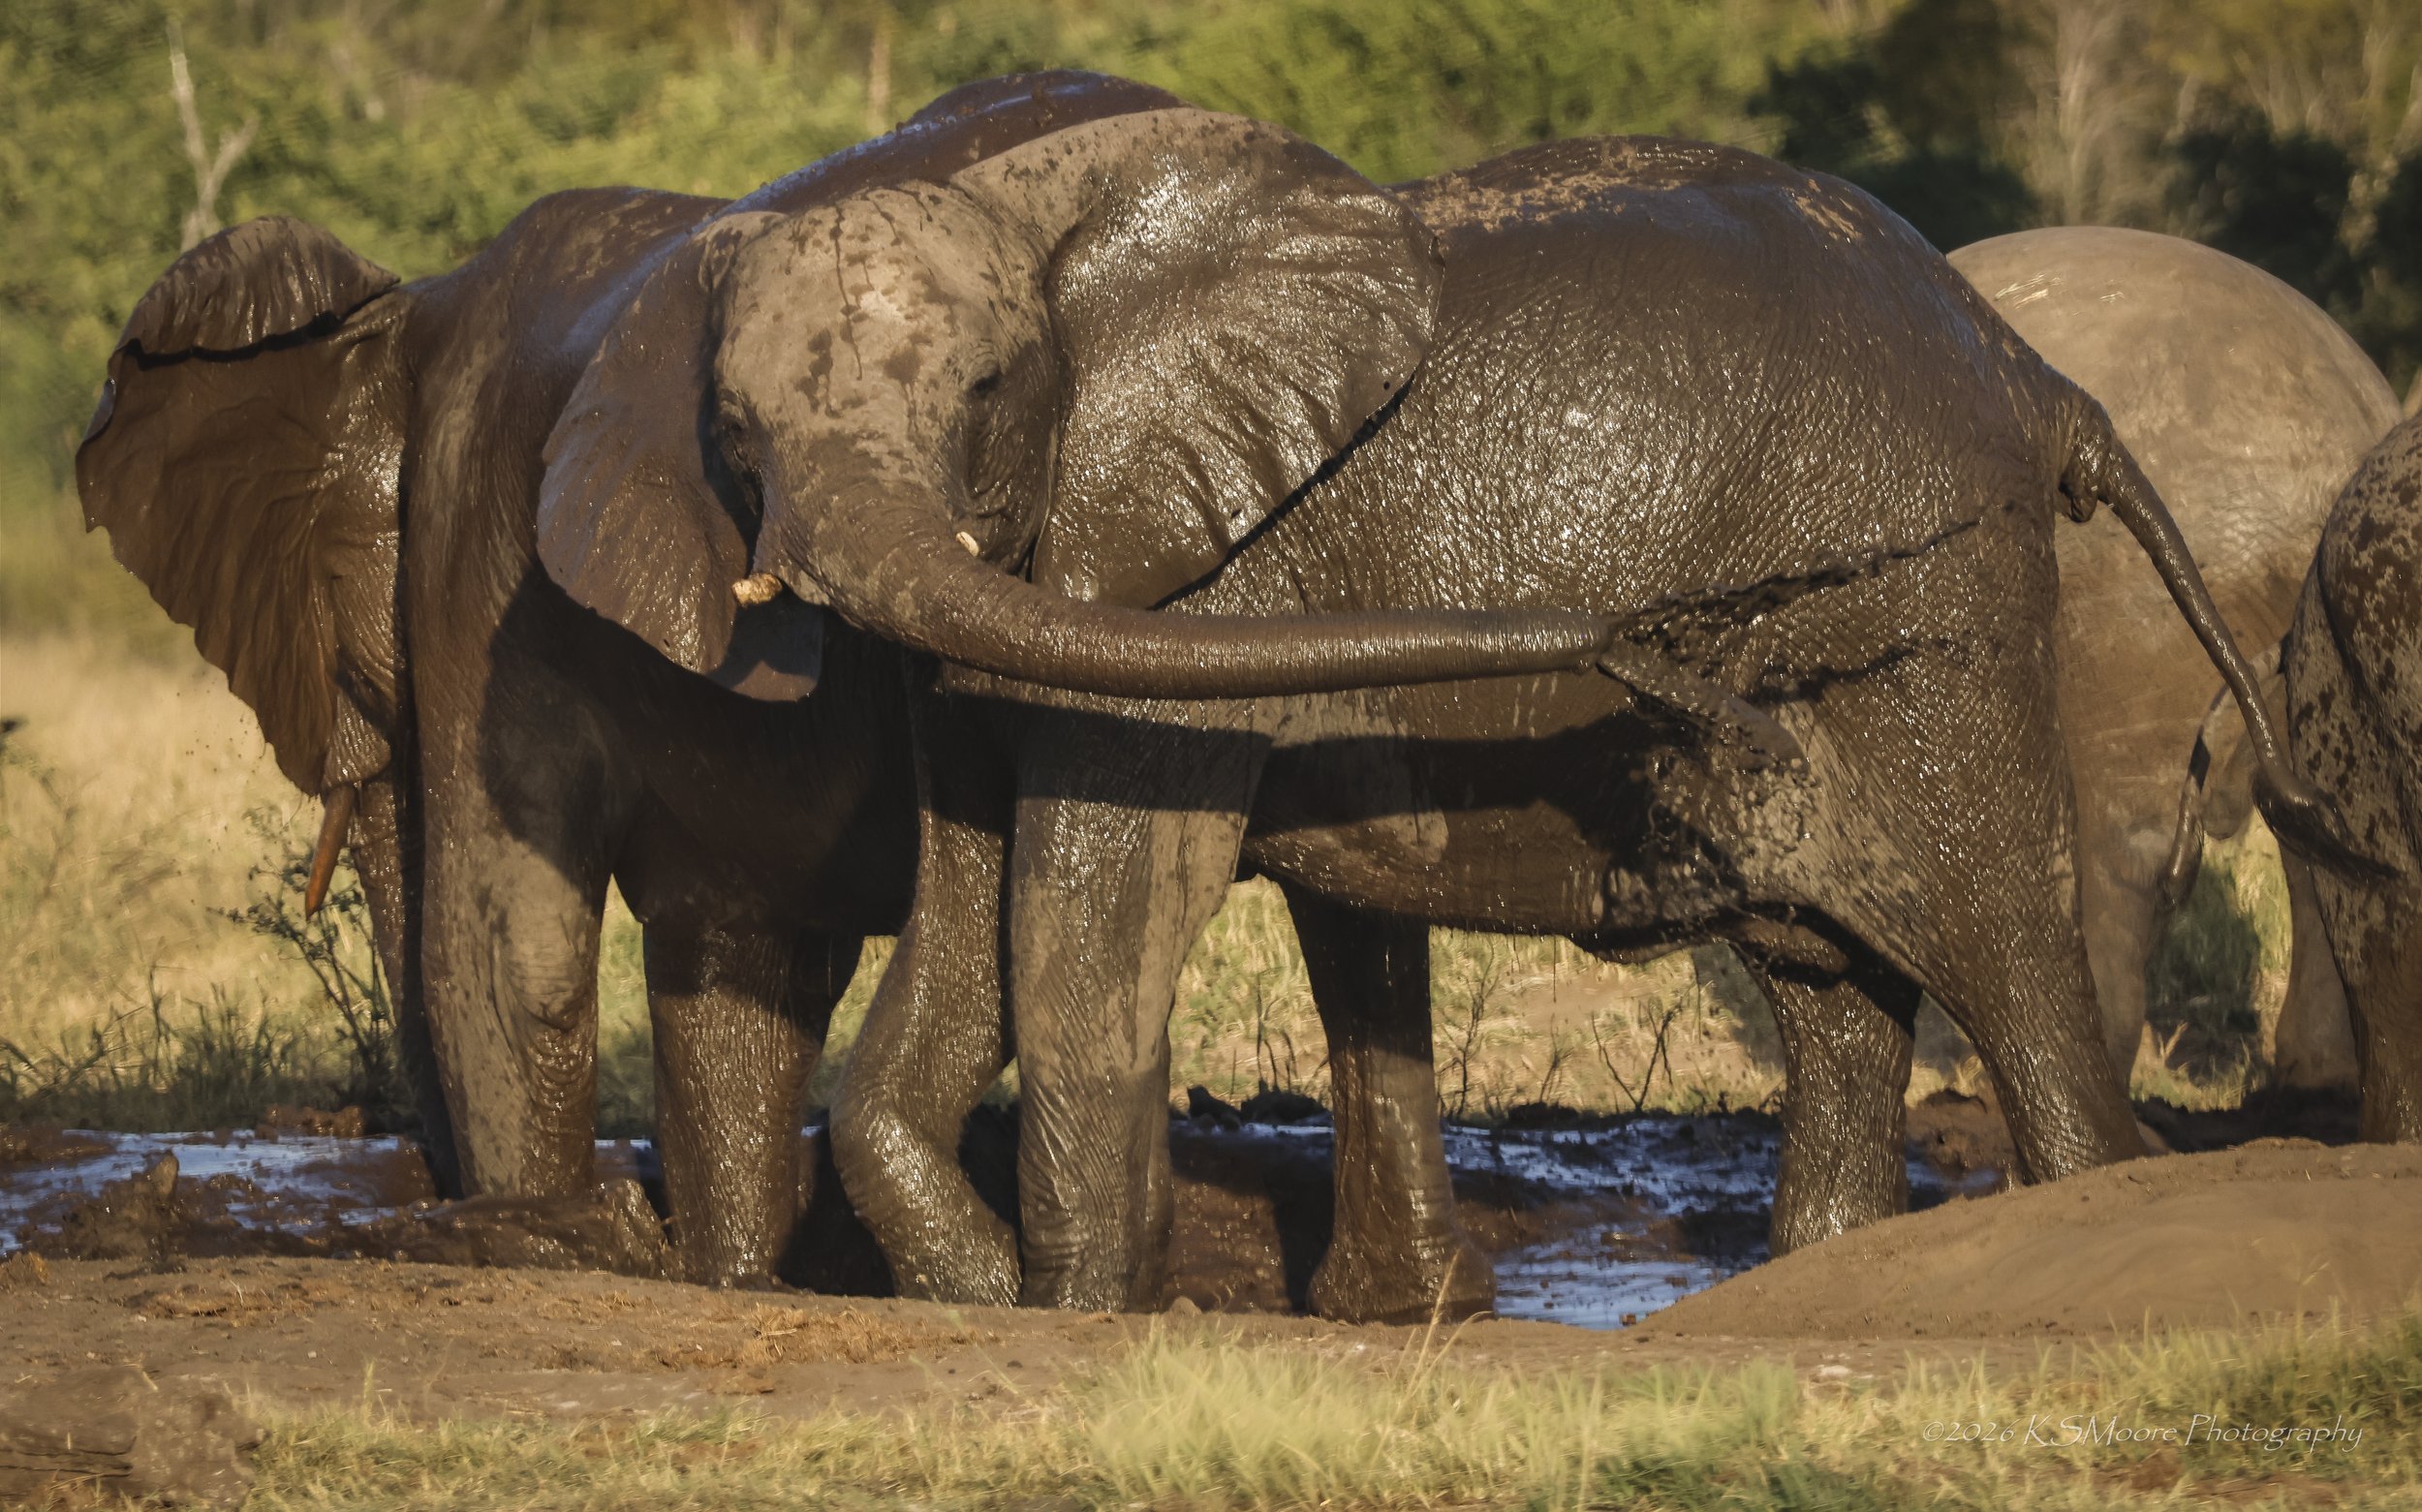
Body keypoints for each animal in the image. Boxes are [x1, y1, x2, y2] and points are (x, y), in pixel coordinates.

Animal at [531, 108, 2340, 1320]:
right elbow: (972, 896)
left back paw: (2080, 1211)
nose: (1655, 649)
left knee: (1991, 924)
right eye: (732, 433)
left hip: (1929, 598)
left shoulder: (1208, 560)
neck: (1032, 211)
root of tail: (2032, 370)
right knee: (1829, 969)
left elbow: (1092, 897)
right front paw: (979, 1293)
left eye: (983, 392)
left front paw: (1080, 1311)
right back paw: (1815, 1278)